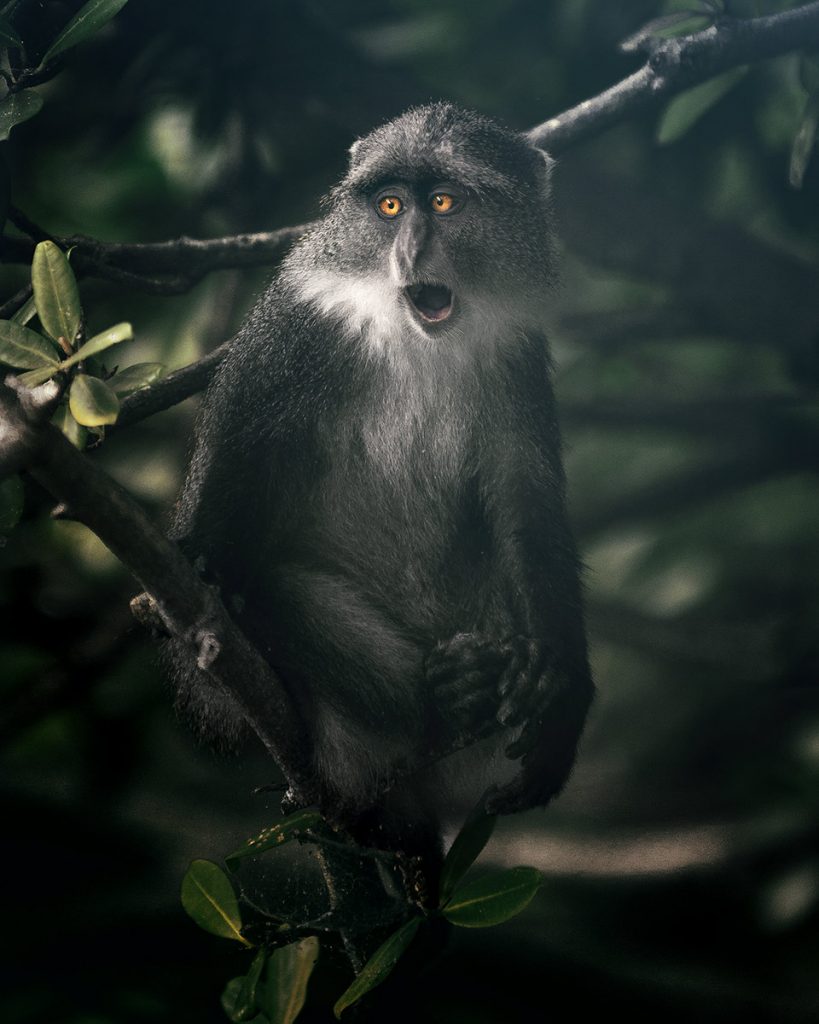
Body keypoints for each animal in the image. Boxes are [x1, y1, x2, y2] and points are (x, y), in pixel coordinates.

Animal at [166, 102, 593, 879]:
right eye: (390, 206)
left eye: (444, 203)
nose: (411, 251)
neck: (414, 339)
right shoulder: (292, 334)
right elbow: (233, 488)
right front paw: (206, 575)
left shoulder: (514, 355)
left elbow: (526, 508)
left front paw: (561, 692)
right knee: (274, 590)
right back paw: (449, 700)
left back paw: (483, 678)